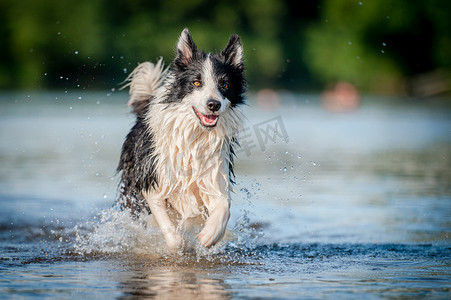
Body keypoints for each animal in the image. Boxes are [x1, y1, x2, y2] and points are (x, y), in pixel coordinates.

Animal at [115, 28, 245, 251]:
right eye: (196, 82)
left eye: (225, 84)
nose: (214, 104)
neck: (195, 136)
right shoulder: (152, 182)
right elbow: (173, 236)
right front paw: (177, 246)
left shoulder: (214, 176)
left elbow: (224, 207)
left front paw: (209, 236)